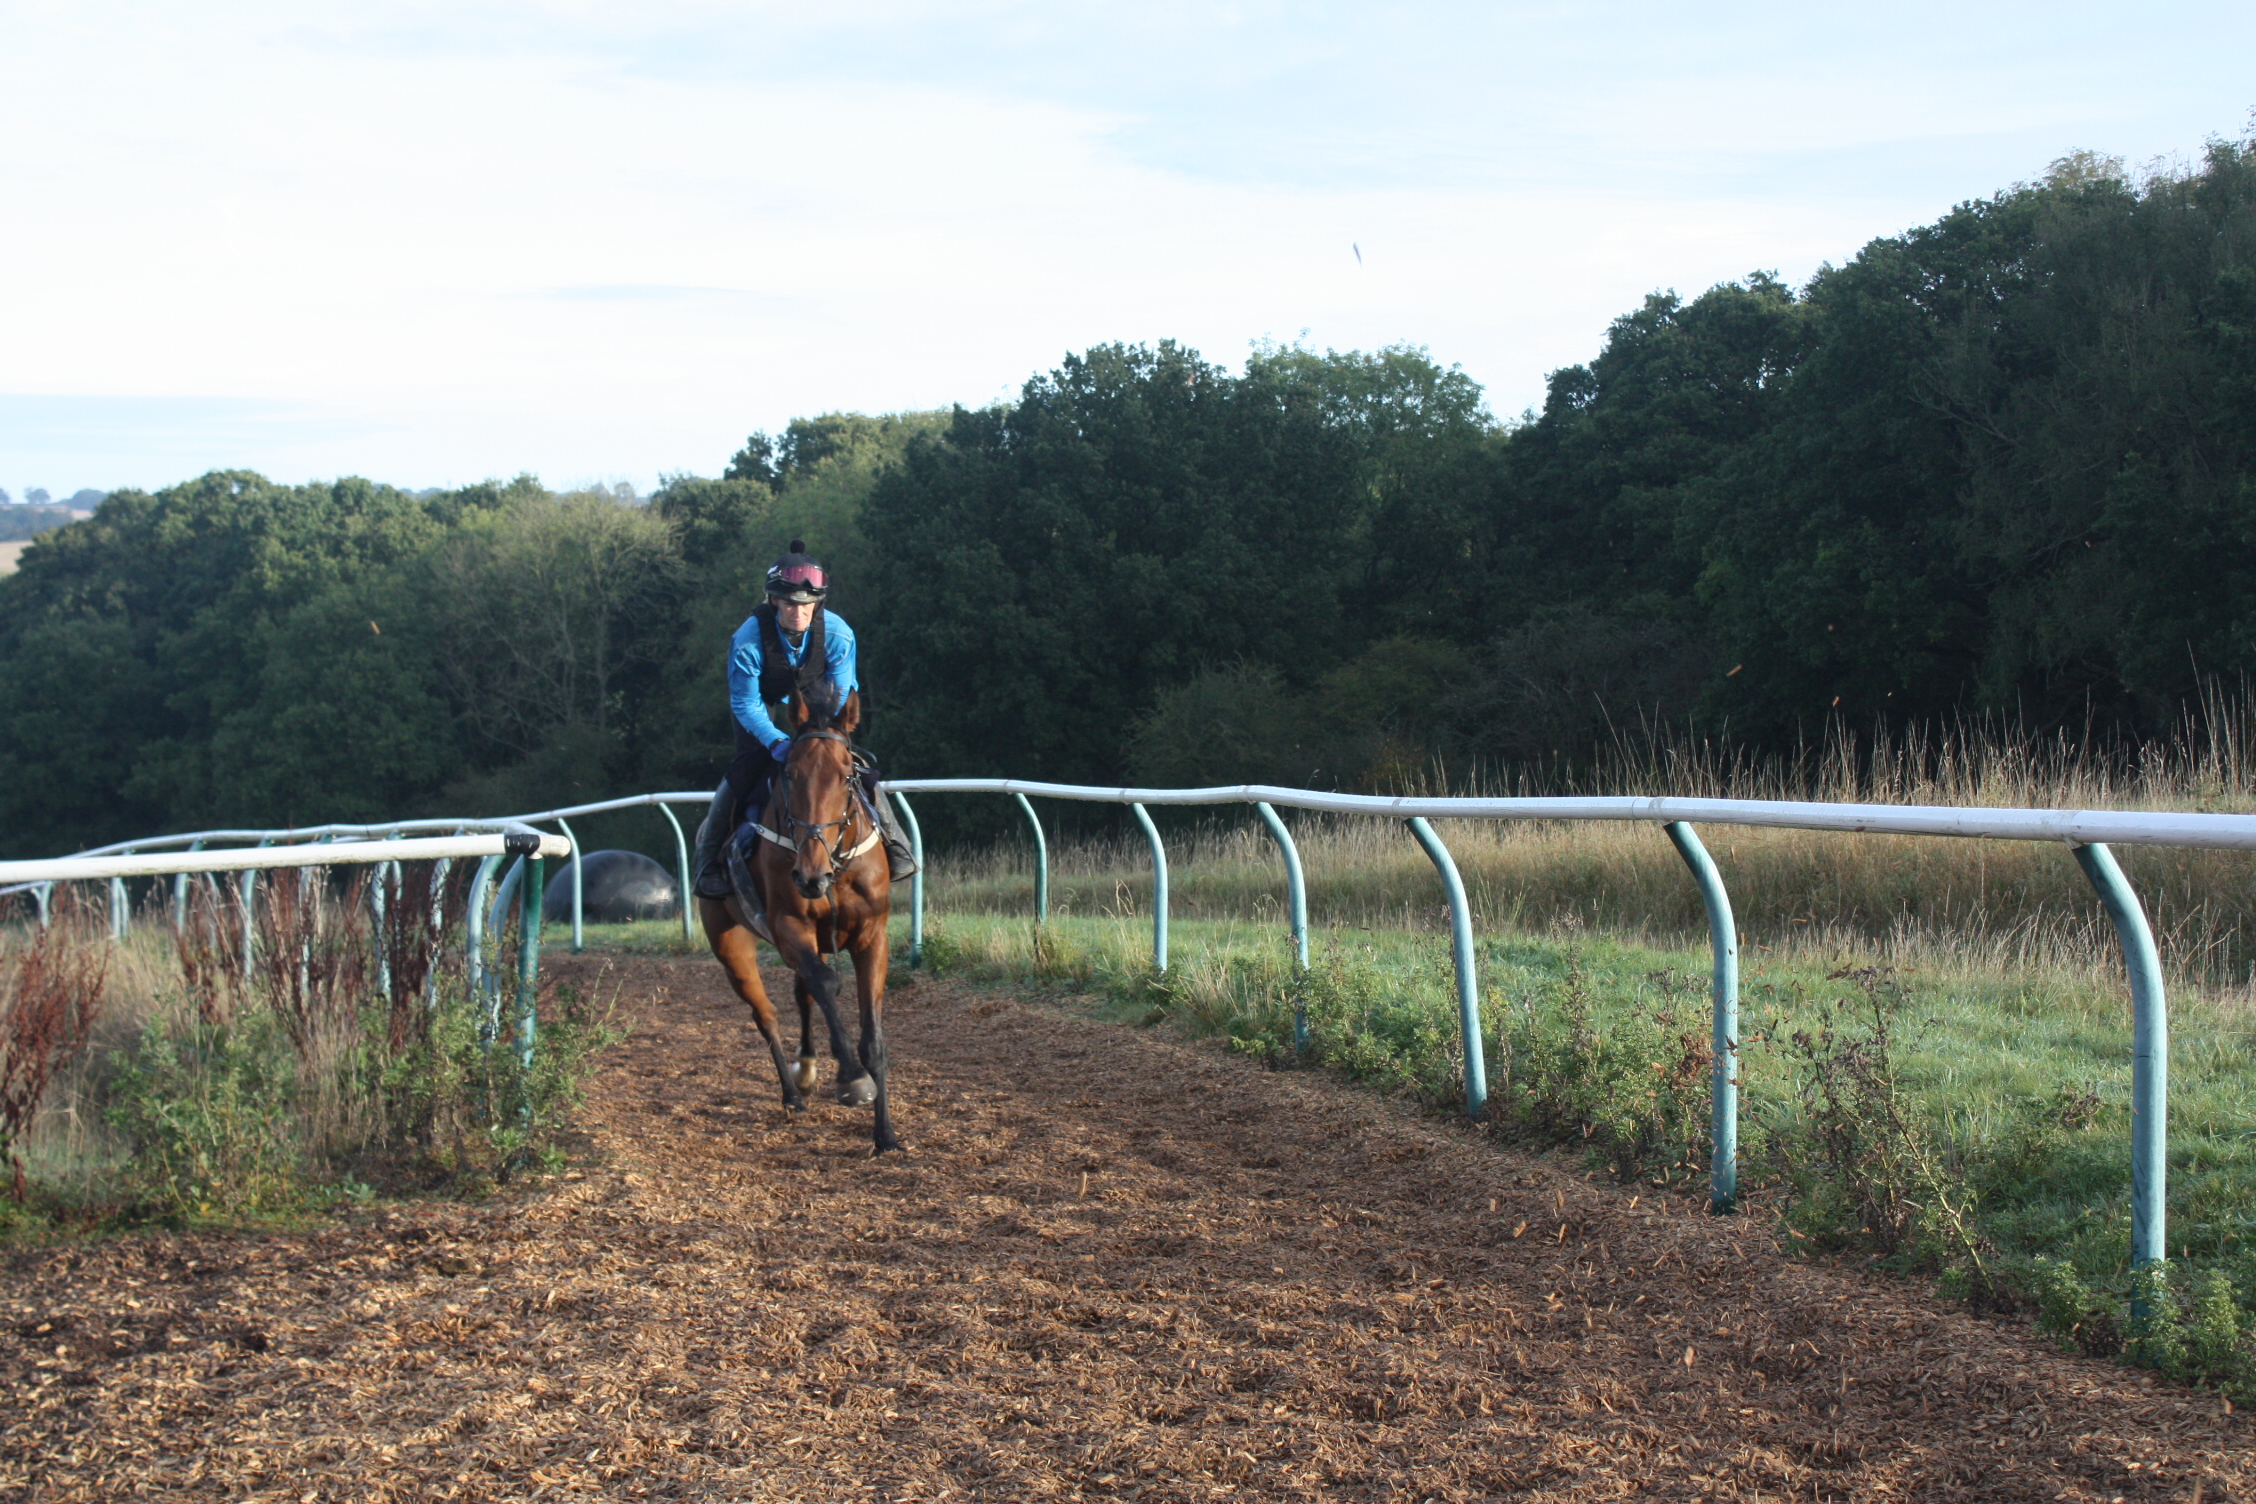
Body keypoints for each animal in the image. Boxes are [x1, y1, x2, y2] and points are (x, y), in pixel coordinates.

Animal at [694, 689, 897, 1154]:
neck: (834, 866)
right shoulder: (788, 926)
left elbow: (872, 1037)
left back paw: (806, 1069)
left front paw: (885, 1135)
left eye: (846, 775)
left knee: (802, 993)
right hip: (730, 944)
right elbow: (825, 982)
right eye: (790, 774)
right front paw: (852, 1079)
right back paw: (792, 1092)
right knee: (767, 1013)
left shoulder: (872, 935)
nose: (809, 876)